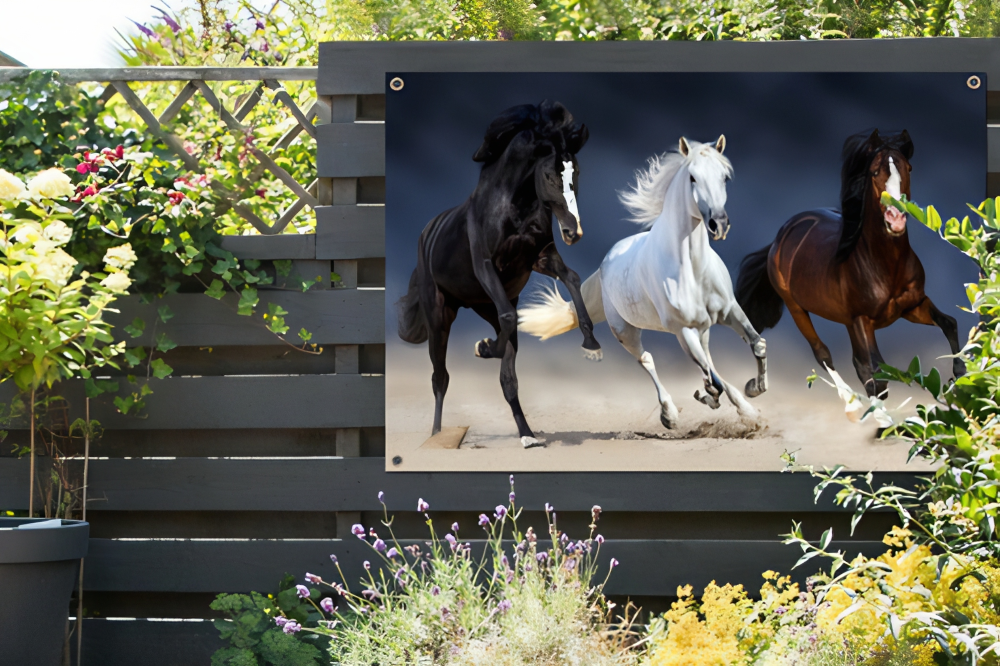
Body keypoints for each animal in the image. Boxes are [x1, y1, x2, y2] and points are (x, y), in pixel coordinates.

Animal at [395, 100, 600, 448]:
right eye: (550, 175)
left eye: (576, 172)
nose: (574, 232)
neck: (513, 206)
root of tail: (427, 233)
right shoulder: (486, 265)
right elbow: (508, 315)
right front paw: (484, 347)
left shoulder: (540, 257)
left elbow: (571, 277)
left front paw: (592, 343)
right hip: (439, 315)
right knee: (441, 377)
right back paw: (437, 436)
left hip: (482, 306)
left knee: (507, 375)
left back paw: (527, 434)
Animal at [518, 137, 768, 429]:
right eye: (692, 177)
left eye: (725, 177)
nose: (719, 224)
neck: (692, 270)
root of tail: (605, 264)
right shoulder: (682, 330)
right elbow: (710, 380)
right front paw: (707, 397)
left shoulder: (729, 311)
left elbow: (756, 345)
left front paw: (753, 389)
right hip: (626, 331)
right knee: (648, 360)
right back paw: (669, 415)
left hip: (702, 329)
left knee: (708, 361)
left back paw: (745, 409)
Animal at [734, 129, 964, 398]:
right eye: (874, 172)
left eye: (908, 168)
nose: (895, 218)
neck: (886, 266)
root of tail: (781, 237)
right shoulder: (862, 321)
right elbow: (877, 371)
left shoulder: (913, 306)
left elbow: (949, 323)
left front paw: (959, 376)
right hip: (796, 307)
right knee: (823, 353)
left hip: (846, 321)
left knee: (857, 363)